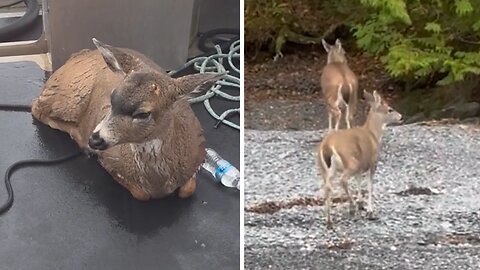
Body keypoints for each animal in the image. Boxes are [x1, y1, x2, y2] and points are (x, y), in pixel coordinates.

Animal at [31, 39, 223, 201]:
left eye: (143, 114)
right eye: (112, 97)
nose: (95, 140)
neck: (159, 184)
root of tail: (77, 55)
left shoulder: (198, 153)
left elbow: (187, 190)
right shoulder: (111, 161)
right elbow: (141, 195)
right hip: (67, 96)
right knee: (36, 107)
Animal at [316, 90, 404, 228]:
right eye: (390, 109)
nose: (401, 117)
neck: (373, 134)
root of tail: (327, 146)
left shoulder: (361, 166)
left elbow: (359, 181)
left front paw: (361, 204)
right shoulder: (372, 162)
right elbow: (370, 186)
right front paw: (370, 211)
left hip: (324, 168)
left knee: (327, 187)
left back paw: (329, 220)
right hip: (351, 161)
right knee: (342, 180)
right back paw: (351, 208)